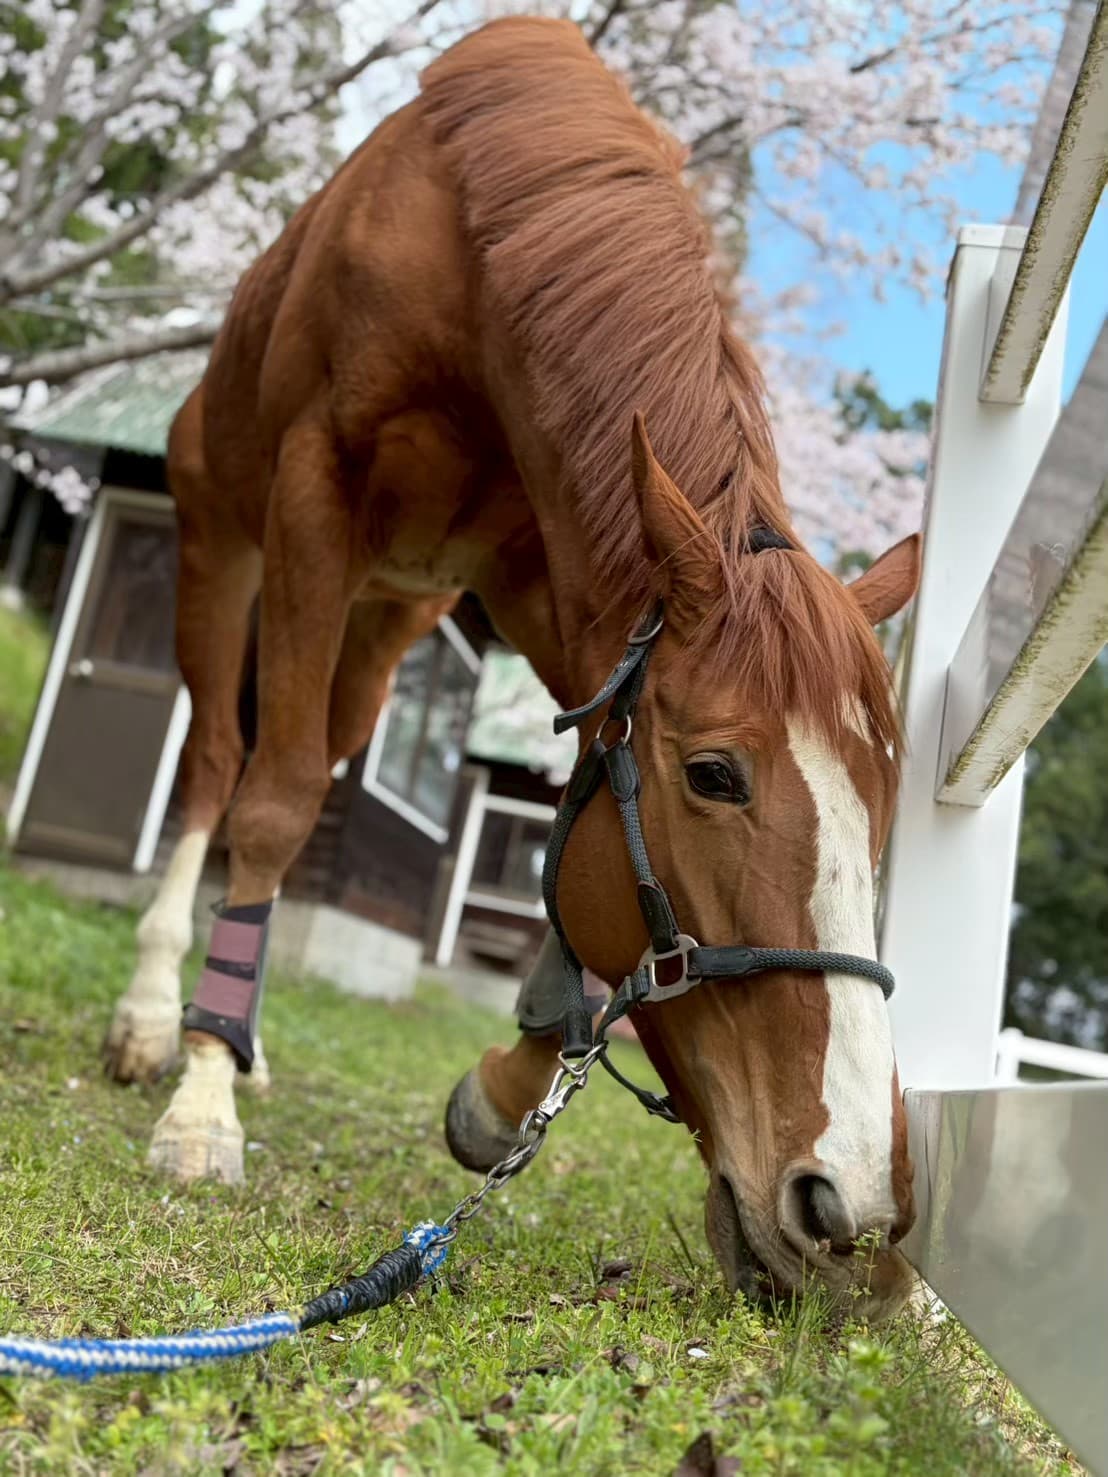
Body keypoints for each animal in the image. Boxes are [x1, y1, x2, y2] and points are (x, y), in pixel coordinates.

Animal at [102, 16, 922, 1316]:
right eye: (716, 777)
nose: (852, 1212)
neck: (479, 258)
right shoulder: (313, 492)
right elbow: (272, 806)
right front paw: (199, 1103)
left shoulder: (554, 584)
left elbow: (575, 810)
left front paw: (502, 1086)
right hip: (221, 548)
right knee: (225, 769)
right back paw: (160, 1022)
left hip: (386, 623)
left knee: (321, 749)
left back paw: (242, 1034)